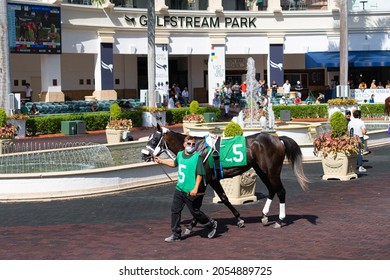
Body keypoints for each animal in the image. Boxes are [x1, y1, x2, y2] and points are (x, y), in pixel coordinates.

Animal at [142, 123, 310, 229]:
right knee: (272, 190)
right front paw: (239, 219)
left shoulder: (206, 179)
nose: (144, 154)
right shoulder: (210, 180)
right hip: (262, 171)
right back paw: (264, 216)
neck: (196, 149)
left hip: (272, 171)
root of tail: (278, 139)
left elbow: (203, 202)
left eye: (154, 139)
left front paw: (192, 225)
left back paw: (280, 220)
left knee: (281, 191)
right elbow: (220, 198)